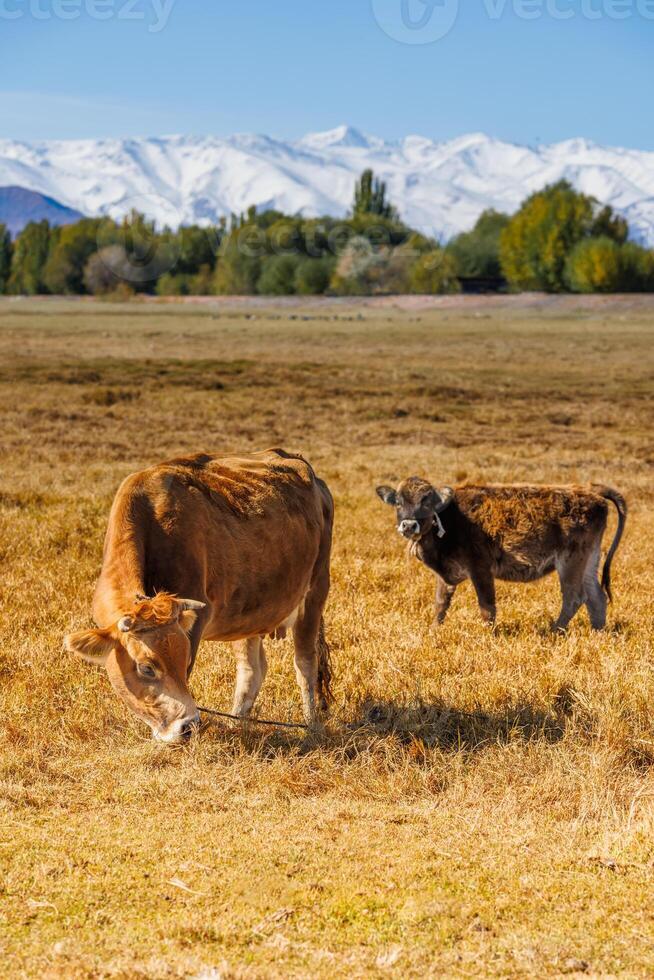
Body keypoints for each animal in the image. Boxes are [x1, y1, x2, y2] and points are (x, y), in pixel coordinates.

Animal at [65, 452, 334, 744]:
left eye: (184, 660)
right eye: (146, 668)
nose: (189, 725)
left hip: (315, 592)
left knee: (305, 663)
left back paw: (312, 724)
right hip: (250, 614)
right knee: (252, 669)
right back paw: (236, 722)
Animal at [376, 478, 628, 632]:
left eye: (426, 501)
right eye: (398, 502)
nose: (409, 525)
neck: (451, 514)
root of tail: (589, 491)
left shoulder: (480, 569)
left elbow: (487, 606)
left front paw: (489, 634)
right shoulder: (445, 573)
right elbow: (441, 603)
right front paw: (433, 630)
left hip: (570, 562)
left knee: (574, 597)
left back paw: (554, 630)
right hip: (590, 561)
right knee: (596, 597)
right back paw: (597, 632)